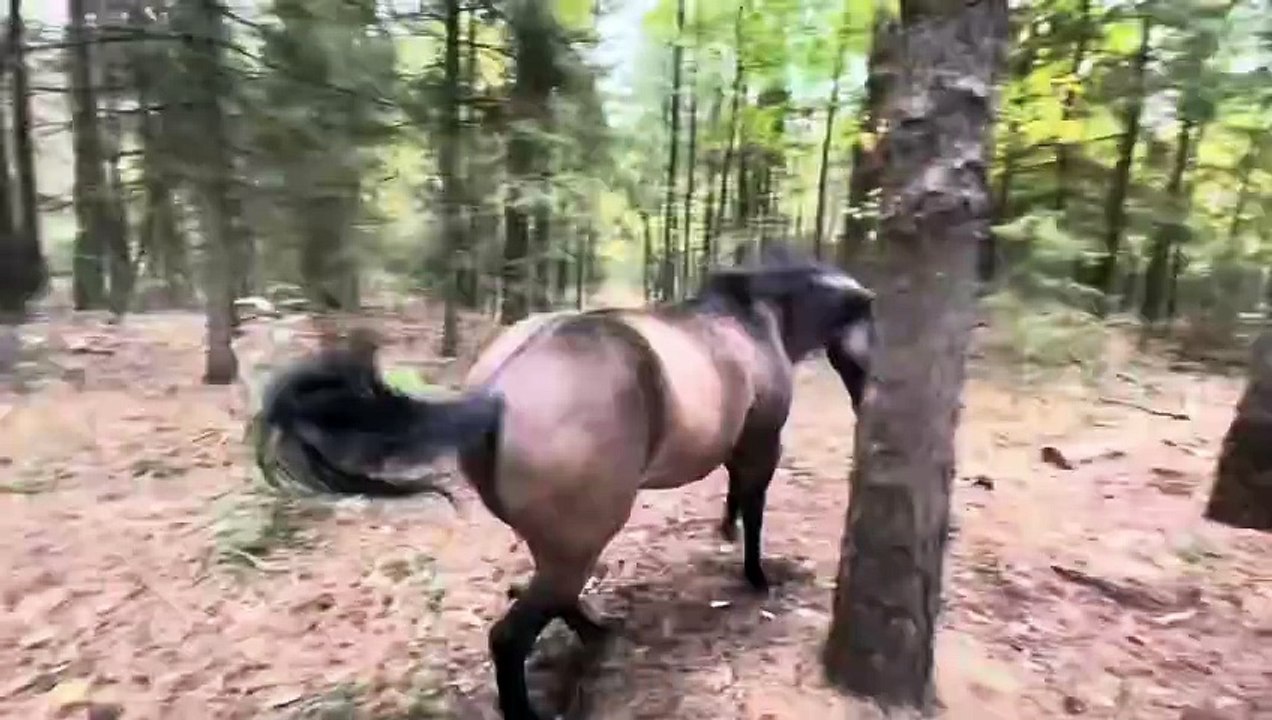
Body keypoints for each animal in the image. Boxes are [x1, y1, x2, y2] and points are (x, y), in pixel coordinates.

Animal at [255, 249, 875, 720]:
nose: (868, 395)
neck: (755, 319)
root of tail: (496, 395)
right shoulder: (764, 443)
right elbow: (754, 506)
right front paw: (755, 574)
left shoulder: (740, 446)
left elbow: (734, 493)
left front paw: (725, 533)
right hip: (584, 535)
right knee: (512, 634)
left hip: (561, 539)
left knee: (555, 595)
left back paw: (597, 632)